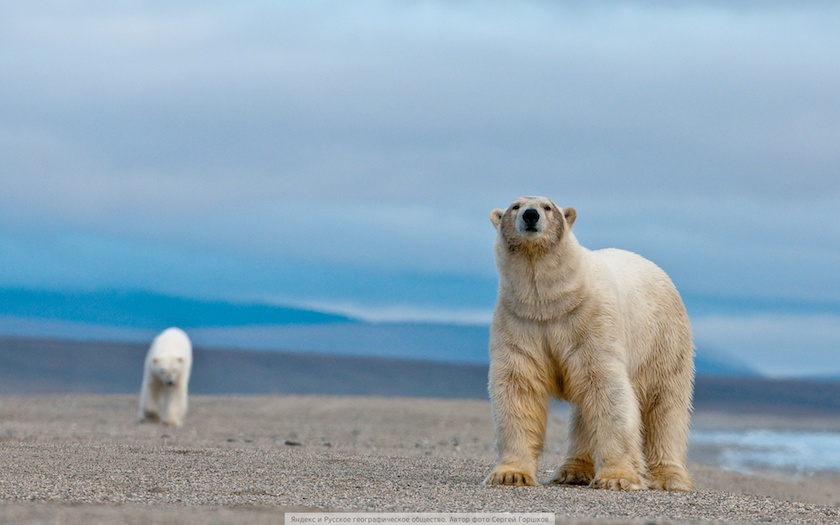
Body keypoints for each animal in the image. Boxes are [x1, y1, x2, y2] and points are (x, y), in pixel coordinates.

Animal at [482, 195, 692, 492]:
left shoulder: (591, 320)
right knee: (584, 407)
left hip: (663, 338)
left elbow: (608, 390)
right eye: (515, 206)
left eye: (548, 206)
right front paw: (510, 474)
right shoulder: (520, 321)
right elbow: (518, 386)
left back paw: (669, 477)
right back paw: (573, 470)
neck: (551, 301)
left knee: (664, 402)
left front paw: (616, 478)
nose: (531, 215)